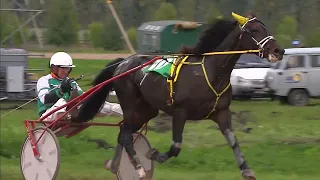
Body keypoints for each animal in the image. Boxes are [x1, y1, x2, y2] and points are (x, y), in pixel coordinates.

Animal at [78, 11, 284, 179]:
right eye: (254, 30)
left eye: (265, 27)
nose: (278, 50)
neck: (211, 72)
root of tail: (123, 63)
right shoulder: (180, 112)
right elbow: (176, 146)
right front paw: (154, 155)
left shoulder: (222, 112)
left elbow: (233, 142)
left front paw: (246, 170)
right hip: (129, 104)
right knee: (127, 135)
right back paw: (139, 168)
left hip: (147, 109)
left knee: (122, 132)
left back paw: (114, 166)